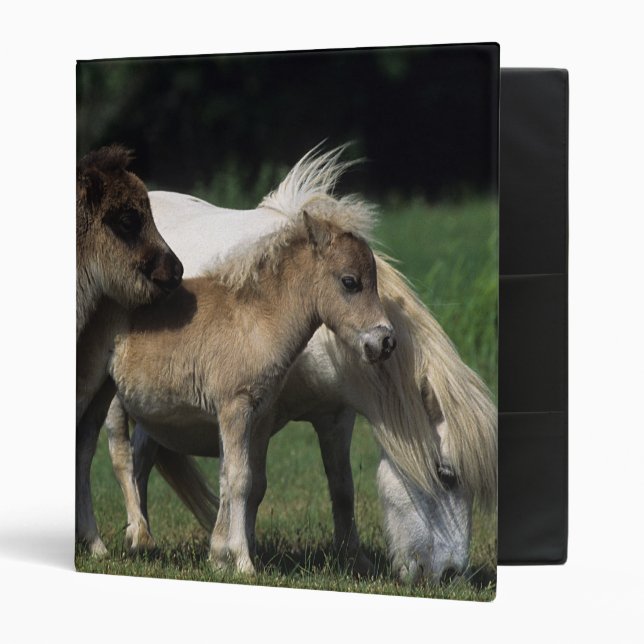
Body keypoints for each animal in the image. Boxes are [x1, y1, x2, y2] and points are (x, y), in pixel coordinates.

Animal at [106, 146, 497, 582]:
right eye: (446, 475)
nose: (452, 575)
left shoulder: (337, 415)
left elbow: (341, 486)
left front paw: (353, 559)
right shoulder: (254, 414)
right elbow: (248, 483)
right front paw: (237, 553)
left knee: (141, 458)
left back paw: (141, 536)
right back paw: (137, 535)